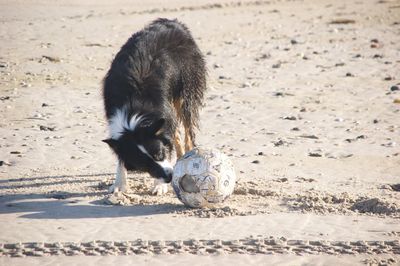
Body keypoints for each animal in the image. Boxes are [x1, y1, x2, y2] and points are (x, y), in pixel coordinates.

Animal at [101, 17, 208, 194]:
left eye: (159, 154)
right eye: (144, 165)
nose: (170, 177)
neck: (133, 107)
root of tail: (172, 22)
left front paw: (159, 186)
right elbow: (121, 157)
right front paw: (119, 184)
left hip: (186, 88)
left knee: (188, 131)